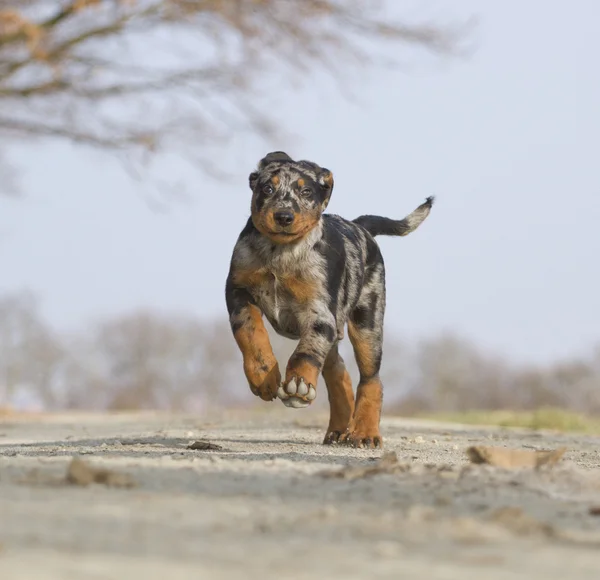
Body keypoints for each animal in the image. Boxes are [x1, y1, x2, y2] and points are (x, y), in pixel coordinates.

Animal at [224, 152, 432, 446]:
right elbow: (250, 333)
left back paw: (364, 432)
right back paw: (338, 428)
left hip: (366, 323)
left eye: (306, 191)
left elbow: (305, 353)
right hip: (337, 332)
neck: (281, 254)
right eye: (267, 188)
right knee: (339, 373)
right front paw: (264, 376)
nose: (284, 216)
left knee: (371, 379)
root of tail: (359, 225)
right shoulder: (238, 291)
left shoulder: (320, 313)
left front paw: (299, 384)